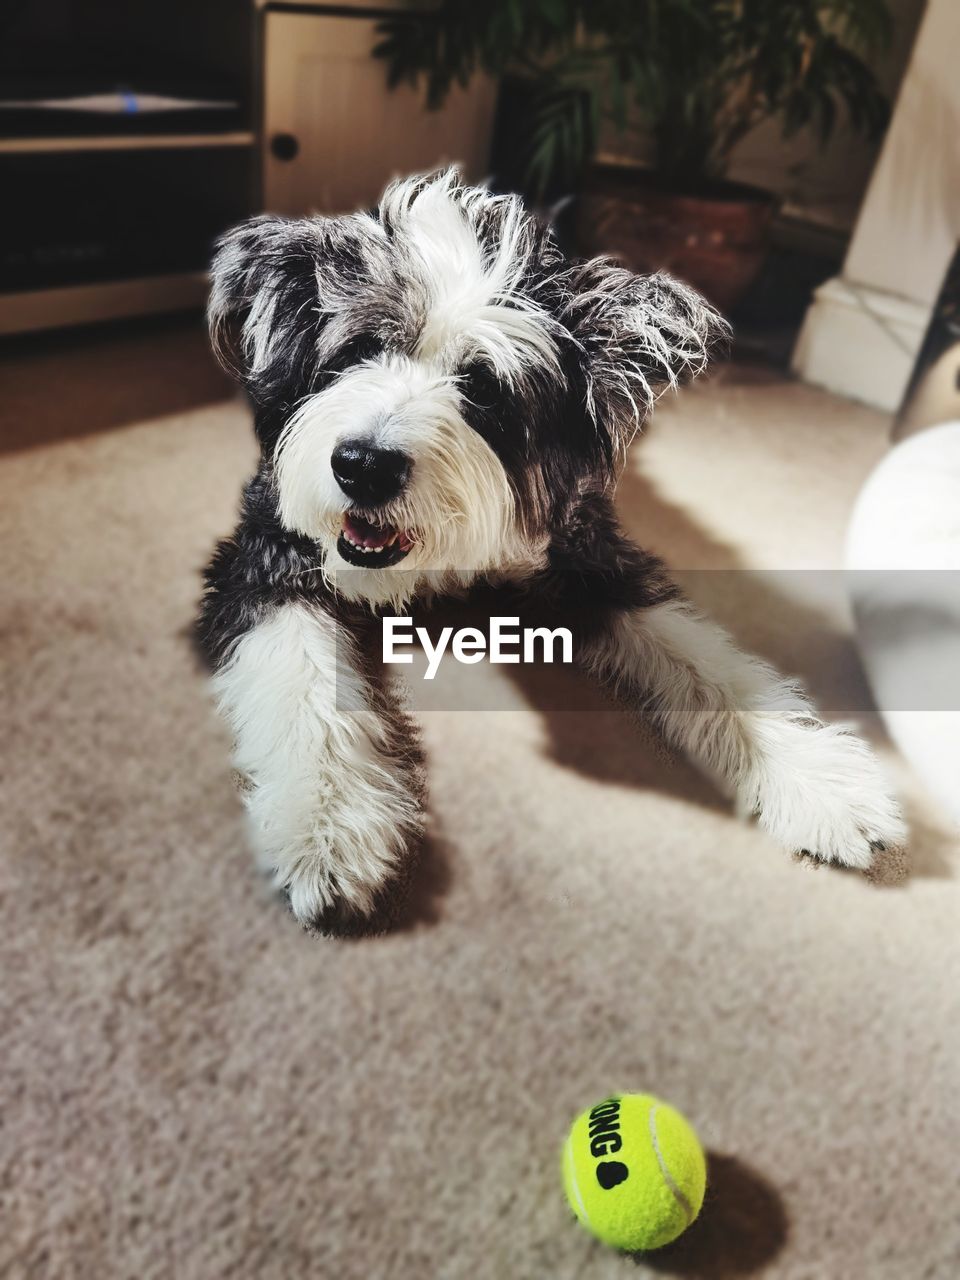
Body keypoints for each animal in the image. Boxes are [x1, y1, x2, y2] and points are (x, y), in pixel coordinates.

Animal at [197, 170, 911, 931]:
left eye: (484, 387)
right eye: (356, 350)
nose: (363, 466)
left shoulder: (587, 556)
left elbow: (702, 658)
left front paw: (819, 777)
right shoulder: (267, 556)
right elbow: (302, 679)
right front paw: (327, 827)